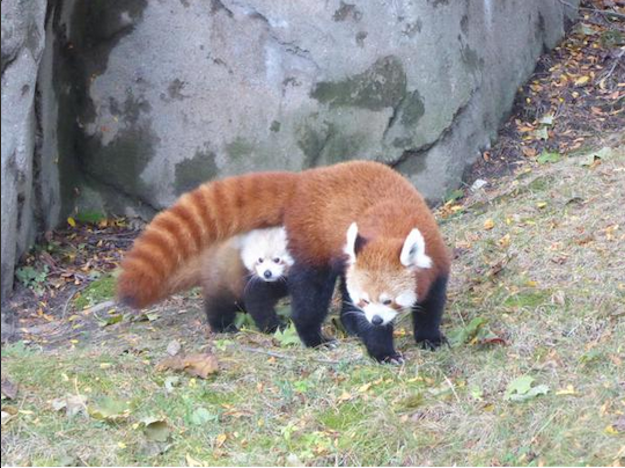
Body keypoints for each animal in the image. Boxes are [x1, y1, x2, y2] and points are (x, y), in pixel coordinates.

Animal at [117, 161, 448, 362]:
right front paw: (383, 351)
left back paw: (348, 324)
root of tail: (304, 179)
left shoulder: (437, 260)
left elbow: (432, 304)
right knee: (310, 293)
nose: (376, 318)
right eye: (366, 300)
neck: (393, 226)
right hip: (312, 242)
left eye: (388, 301)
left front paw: (429, 337)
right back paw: (313, 336)